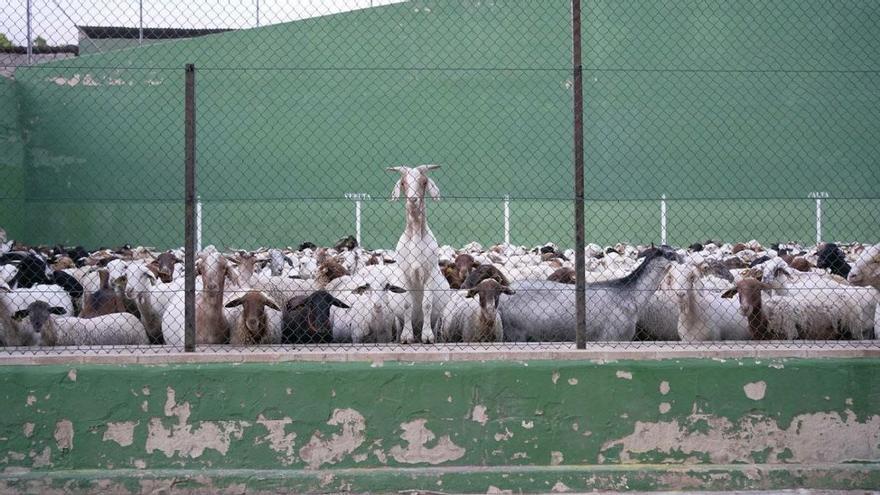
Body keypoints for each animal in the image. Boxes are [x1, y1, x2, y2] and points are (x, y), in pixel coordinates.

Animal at [388, 165, 450, 342]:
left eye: (424, 182)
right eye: (403, 183)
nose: (413, 199)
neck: (415, 234)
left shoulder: (429, 273)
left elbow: (427, 304)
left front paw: (427, 337)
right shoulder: (404, 274)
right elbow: (407, 304)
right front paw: (406, 337)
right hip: (397, 320)